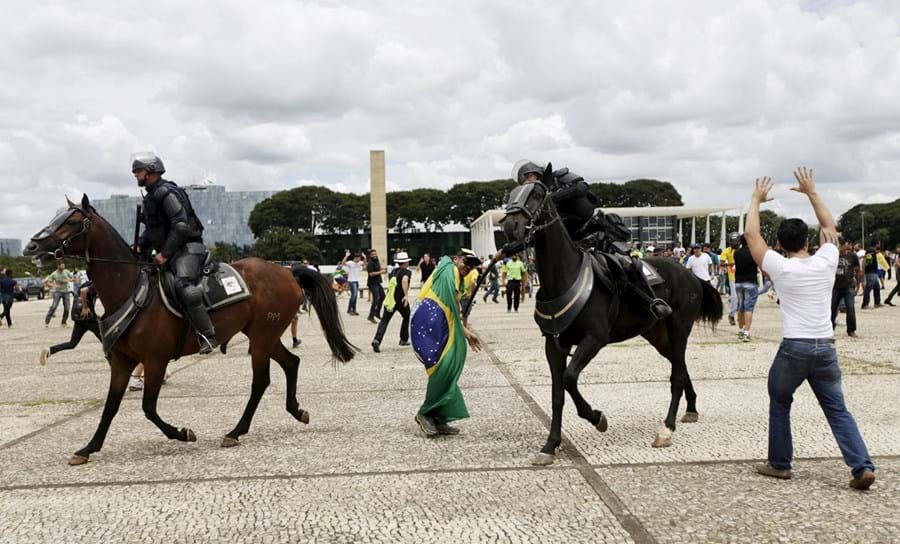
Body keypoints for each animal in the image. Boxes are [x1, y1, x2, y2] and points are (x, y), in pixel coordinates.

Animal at [24, 196, 356, 464]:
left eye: (71, 221)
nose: (32, 245)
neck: (130, 288)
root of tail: (286, 271)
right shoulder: (122, 363)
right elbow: (110, 407)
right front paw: (88, 448)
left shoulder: (155, 360)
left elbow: (148, 407)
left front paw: (182, 433)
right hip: (263, 335)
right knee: (291, 363)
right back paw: (295, 411)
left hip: (262, 337)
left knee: (261, 381)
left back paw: (236, 430)